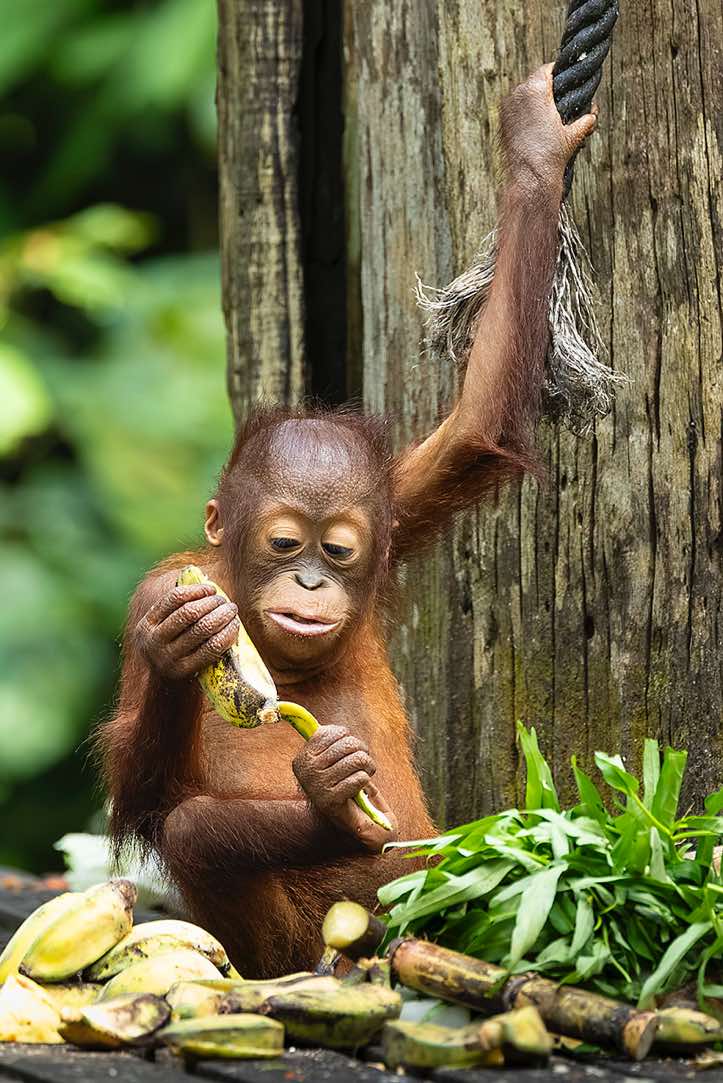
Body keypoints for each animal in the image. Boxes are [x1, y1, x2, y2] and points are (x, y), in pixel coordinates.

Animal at [98, 67, 597, 977]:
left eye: (337, 550)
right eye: (284, 544)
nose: (307, 581)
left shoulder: (396, 503)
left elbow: (477, 428)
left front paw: (537, 148)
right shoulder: (157, 587)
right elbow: (149, 802)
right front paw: (178, 641)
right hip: (296, 942)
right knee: (197, 829)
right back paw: (332, 815)